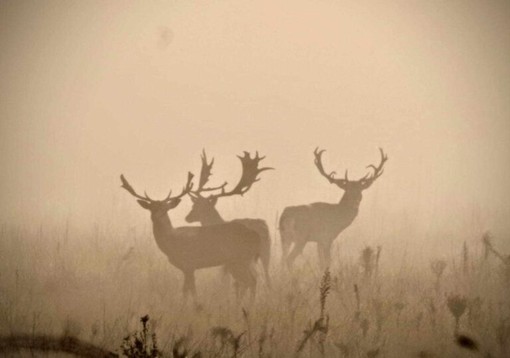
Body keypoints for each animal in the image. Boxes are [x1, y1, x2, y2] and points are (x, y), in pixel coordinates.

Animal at [121, 171, 260, 300]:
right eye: (151, 208)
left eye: (166, 209)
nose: (157, 217)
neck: (171, 242)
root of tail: (255, 235)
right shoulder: (186, 268)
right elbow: (188, 289)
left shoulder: (189, 263)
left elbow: (189, 290)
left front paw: (191, 306)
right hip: (239, 261)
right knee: (251, 280)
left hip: (240, 258)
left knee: (250, 281)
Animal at [186, 150, 274, 288]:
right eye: (194, 205)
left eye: (198, 207)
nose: (187, 217)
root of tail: (264, 227)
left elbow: (225, 277)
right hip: (266, 251)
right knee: (267, 276)